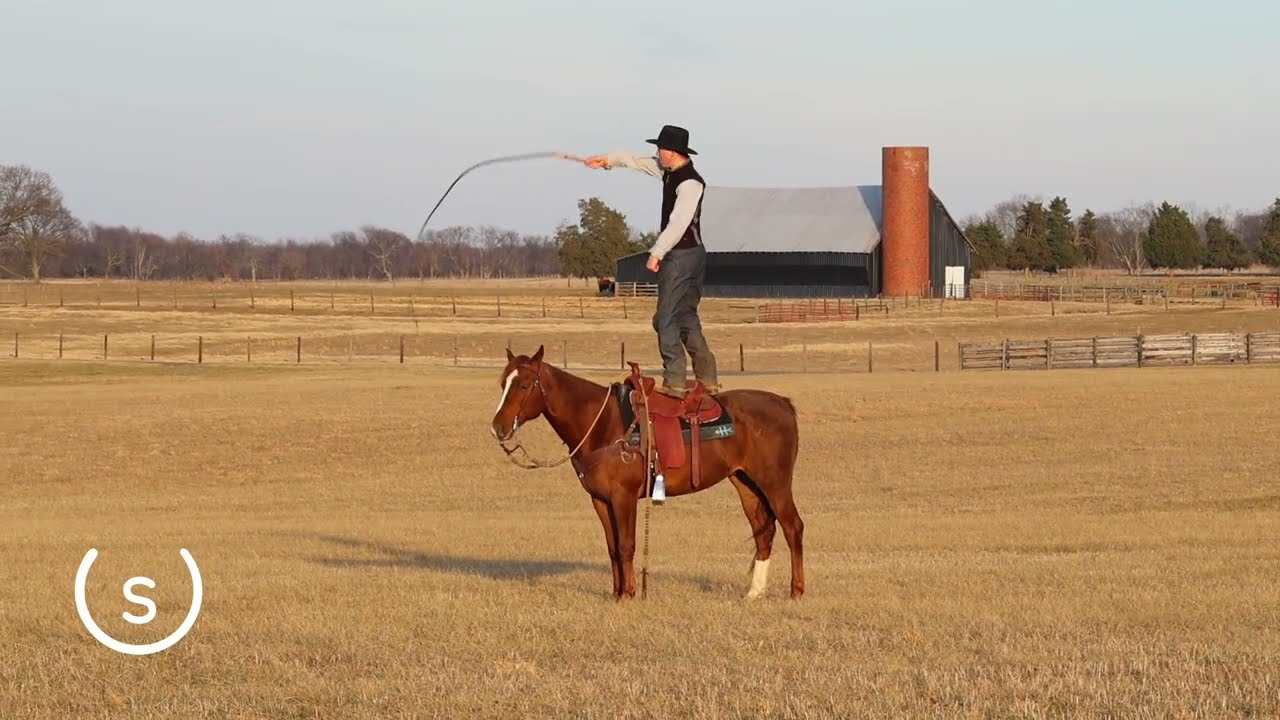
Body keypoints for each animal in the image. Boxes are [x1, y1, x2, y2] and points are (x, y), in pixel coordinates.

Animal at [489, 345, 805, 601]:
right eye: (503, 383)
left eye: (524, 385)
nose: (498, 427)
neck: (603, 424)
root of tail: (782, 404)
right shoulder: (600, 500)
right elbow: (612, 548)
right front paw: (616, 594)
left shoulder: (624, 497)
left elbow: (626, 545)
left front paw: (629, 594)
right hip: (746, 483)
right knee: (763, 531)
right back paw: (754, 593)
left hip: (775, 483)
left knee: (793, 527)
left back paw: (796, 591)